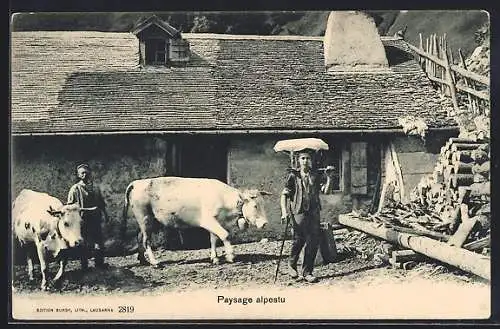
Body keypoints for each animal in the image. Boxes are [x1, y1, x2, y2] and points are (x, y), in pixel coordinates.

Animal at [120, 176, 270, 266]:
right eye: (255, 206)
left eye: (263, 204)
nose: (265, 223)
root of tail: (137, 182)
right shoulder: (208, 220)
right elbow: (225, 235)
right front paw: (230, 257)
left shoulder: (216, 222)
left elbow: (213, 239)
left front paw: (215, 258)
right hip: (145, 218)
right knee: (146, 240)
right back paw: (154, 262)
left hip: (145, 221)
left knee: (139, 237)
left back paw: (143, 260)